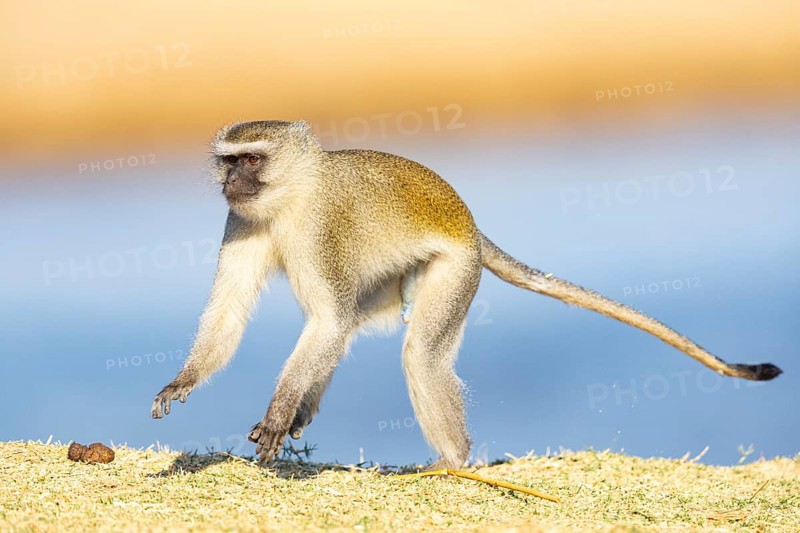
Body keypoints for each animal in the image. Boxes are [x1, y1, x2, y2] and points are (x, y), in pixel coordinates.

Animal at [151, 120, 782, 470]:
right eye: (228, 163)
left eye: (251, 159)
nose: (231, 182)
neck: (290, 198)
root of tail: (472, 227)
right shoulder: (241, 220)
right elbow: (233, 313)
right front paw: (184, 381)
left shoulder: (321, 229)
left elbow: (326, 320)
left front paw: (279, 412)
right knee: (356, 328)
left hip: (456, 271)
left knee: (418, 357)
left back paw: (453, 465)